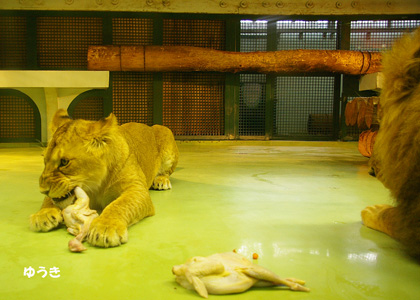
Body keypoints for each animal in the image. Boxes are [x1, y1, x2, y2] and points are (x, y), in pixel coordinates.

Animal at [30, 109, 178, 247]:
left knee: (166, 172)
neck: (96, 184)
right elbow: (49, 200)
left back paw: (161, 181)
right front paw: (43, 214)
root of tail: (148, 125)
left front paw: (106, 227)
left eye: (64, 162)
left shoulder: (137, 189)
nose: (42, 190)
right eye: (44, 159)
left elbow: (120, 205)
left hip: (165, 132)